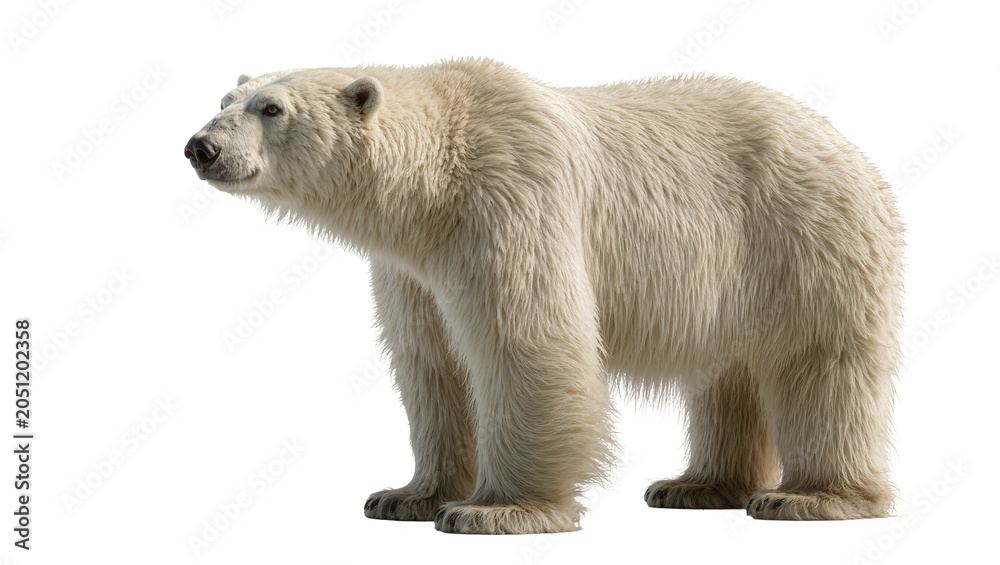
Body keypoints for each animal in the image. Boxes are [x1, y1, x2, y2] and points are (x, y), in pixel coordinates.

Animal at [184, 58, 903, 534]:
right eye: (224, 97)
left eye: (272, 108)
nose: (201, 146)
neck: (435, 185)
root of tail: (847, 145)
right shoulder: (413, 268)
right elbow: (431, 365)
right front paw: (405, 496)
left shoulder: (511, 200)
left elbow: (525, 342)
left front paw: (495, 508)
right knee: (728, 373)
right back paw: (695, 485)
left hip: (802, 235)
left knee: (820, 362)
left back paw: (806, 497)